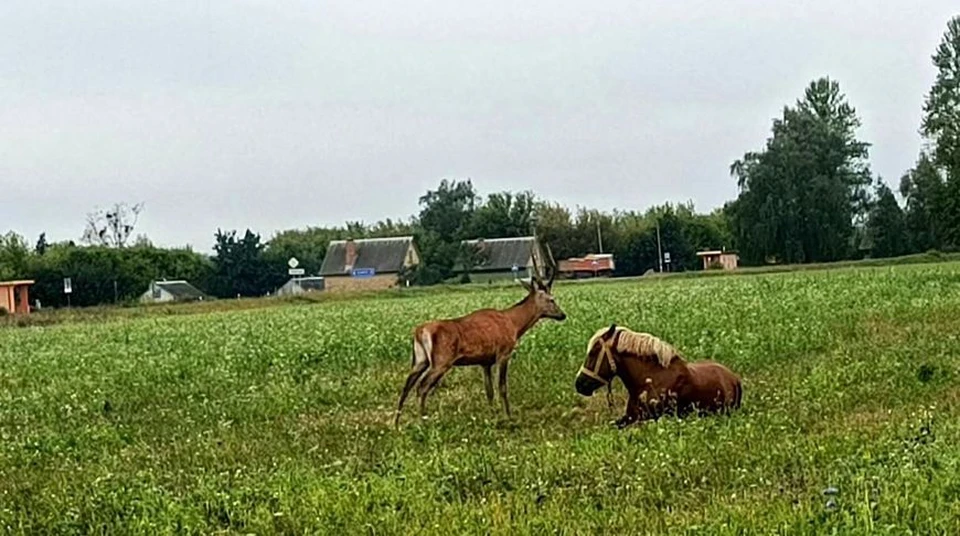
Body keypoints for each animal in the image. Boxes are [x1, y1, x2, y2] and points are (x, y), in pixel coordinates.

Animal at [394, 245, 566, 426]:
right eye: (552, 299)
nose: (563, 315)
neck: (514, 325)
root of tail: (420, 331)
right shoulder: (503, 353)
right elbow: (502, 387)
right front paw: (508, 416)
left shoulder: (485, 361)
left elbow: (489, 390)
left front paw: (491, 415)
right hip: (441, 360)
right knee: (422, 386)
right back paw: (423, 420)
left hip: (420, 359)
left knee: (407, 385)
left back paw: (397, 423)